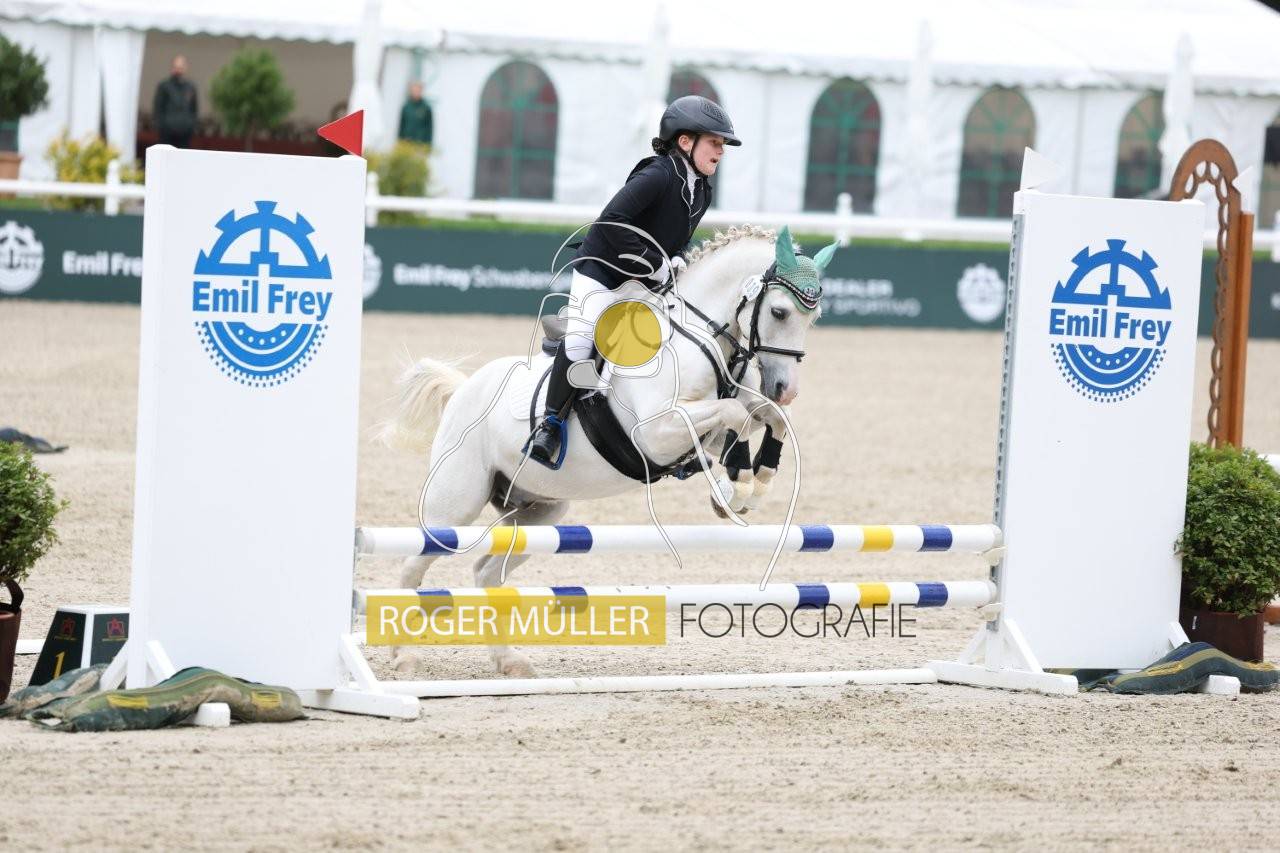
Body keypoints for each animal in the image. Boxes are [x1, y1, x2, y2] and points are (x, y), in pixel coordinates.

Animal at [379, 224, 835, 676]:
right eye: (780, 312)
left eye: (813, 317)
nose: (786, 388)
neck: (701, 338)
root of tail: (462, 390)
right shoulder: (656, 431)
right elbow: (736, 414)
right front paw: (736, 485)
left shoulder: (723, 414)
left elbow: (765, 417)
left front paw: (752, 483)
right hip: (456, 504)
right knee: (413, 563)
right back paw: (404, 656)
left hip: (541, 512)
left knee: (486, 572)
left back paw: (509, 661)